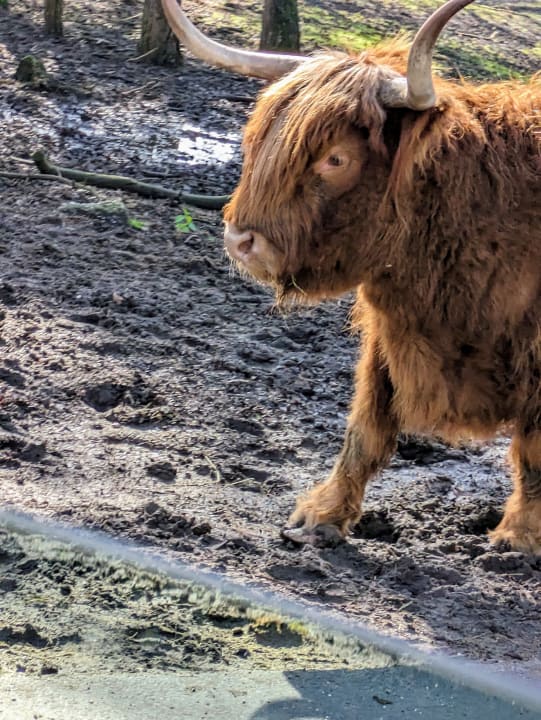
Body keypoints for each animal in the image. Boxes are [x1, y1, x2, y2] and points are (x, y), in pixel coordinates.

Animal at [162, 0, 541, 554]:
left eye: (335, 158)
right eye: (258, 140)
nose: (240, 241)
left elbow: (532, 449)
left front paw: (518, 537)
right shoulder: (390, 333)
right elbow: (366, 427)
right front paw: (321, 516)